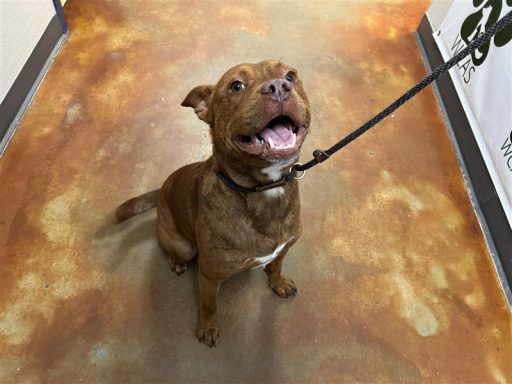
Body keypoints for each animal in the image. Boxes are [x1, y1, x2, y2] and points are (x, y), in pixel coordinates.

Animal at [114, 59, 310, 344]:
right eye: (236, 86)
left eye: (291, 76)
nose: (278, 87)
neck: (263, 190)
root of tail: (162, 189)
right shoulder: (208, 275)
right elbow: (209, 304)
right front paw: (206, 327)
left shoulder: (283, 249)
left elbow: (274, 267)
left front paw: (278, 283)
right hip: (183, 246)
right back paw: (176, 262)